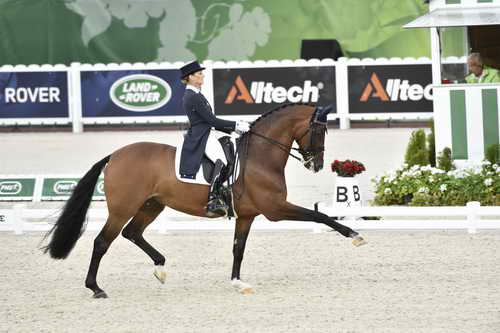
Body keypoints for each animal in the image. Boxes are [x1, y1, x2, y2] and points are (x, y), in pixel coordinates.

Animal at [43, 102, 368, 296]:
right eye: (319, 131)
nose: (316, 164)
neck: (260, 156)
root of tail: (115, 155)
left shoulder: (247, 215)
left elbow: (238, 249)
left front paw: (238, 282)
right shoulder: (274, 209)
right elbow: (319, 215)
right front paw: (355, 235)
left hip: (152, 205)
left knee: (132, 233)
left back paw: (160, 268)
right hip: (123, 208)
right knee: (103, 242)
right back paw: (96, 288)